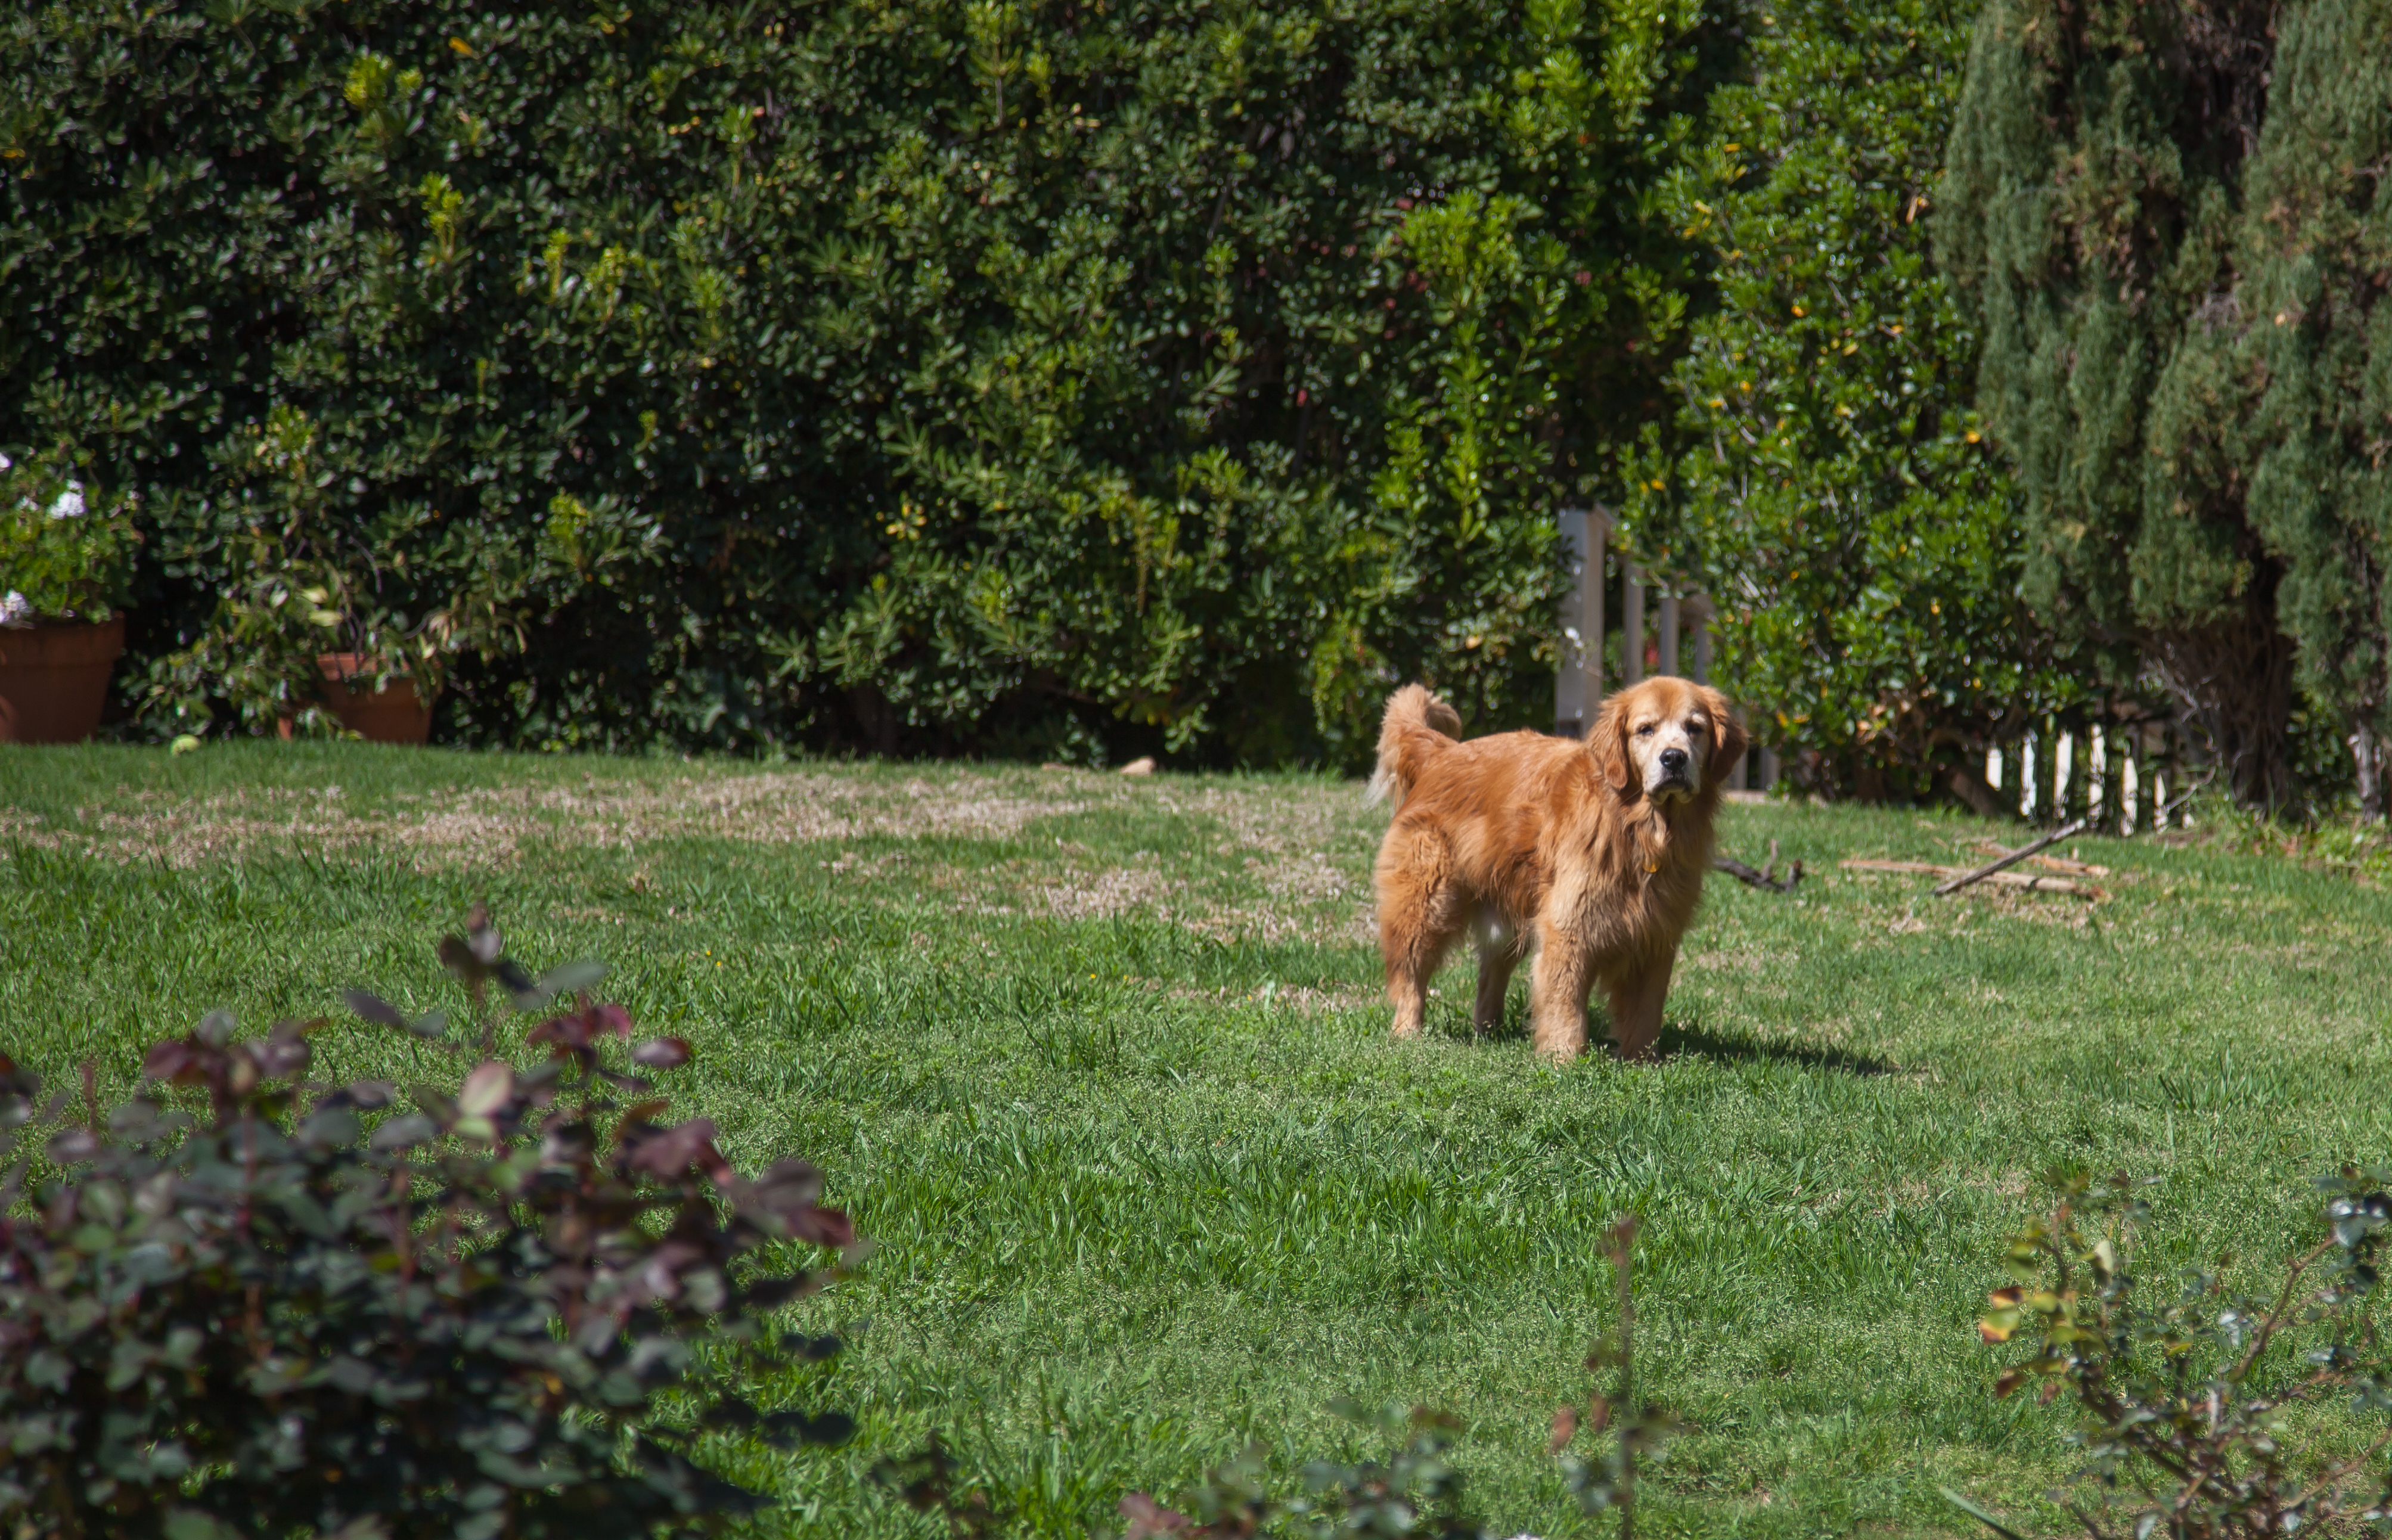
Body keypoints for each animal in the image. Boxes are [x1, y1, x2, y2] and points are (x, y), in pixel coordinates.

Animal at [1378, 679, 1751, 1066]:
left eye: (1695, 728)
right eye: (1646, 729)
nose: (1674, 758)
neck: (1640, 830)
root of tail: (1441, 753)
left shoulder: (1656, 935)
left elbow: (1646, 1010)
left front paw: (1643, 1062)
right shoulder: (1569, 925)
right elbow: (1565, 1002)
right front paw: (1564, 1060)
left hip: (1511, 917)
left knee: (1489, 980)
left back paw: (1490, 1035)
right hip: (1428, 904)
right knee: (1410, 973)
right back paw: (1408, 1032)